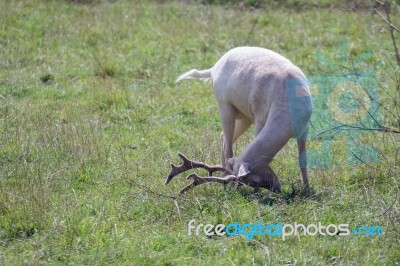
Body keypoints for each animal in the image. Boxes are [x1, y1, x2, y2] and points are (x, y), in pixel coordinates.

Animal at [166, 46, 312, 194]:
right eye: (254, 181)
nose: (277, 188)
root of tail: (214, 67)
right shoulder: (259, 117)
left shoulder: (304, 128)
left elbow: (303, 159)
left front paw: (307, 188)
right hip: (224, 106)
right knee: (227, 143)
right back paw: (224, 177)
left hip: (245, 116)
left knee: (223, 137)